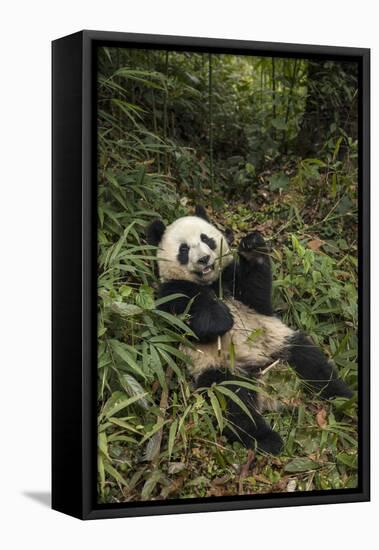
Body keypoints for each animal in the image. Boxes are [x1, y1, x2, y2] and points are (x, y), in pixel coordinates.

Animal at [146, 207, 354, 458]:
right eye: (184, 249)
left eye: (207, 239)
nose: (204, 259)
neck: (210, 283)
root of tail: (269, 389)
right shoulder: (170, 294)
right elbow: (191, 322)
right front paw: (222, 318)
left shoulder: (232, 279)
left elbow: (258, 295)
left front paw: (253, 247)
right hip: (219, 369)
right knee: (234, 404)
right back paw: (268, 440)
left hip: (280, 344)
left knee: (313, 365)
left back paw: (346, 400)